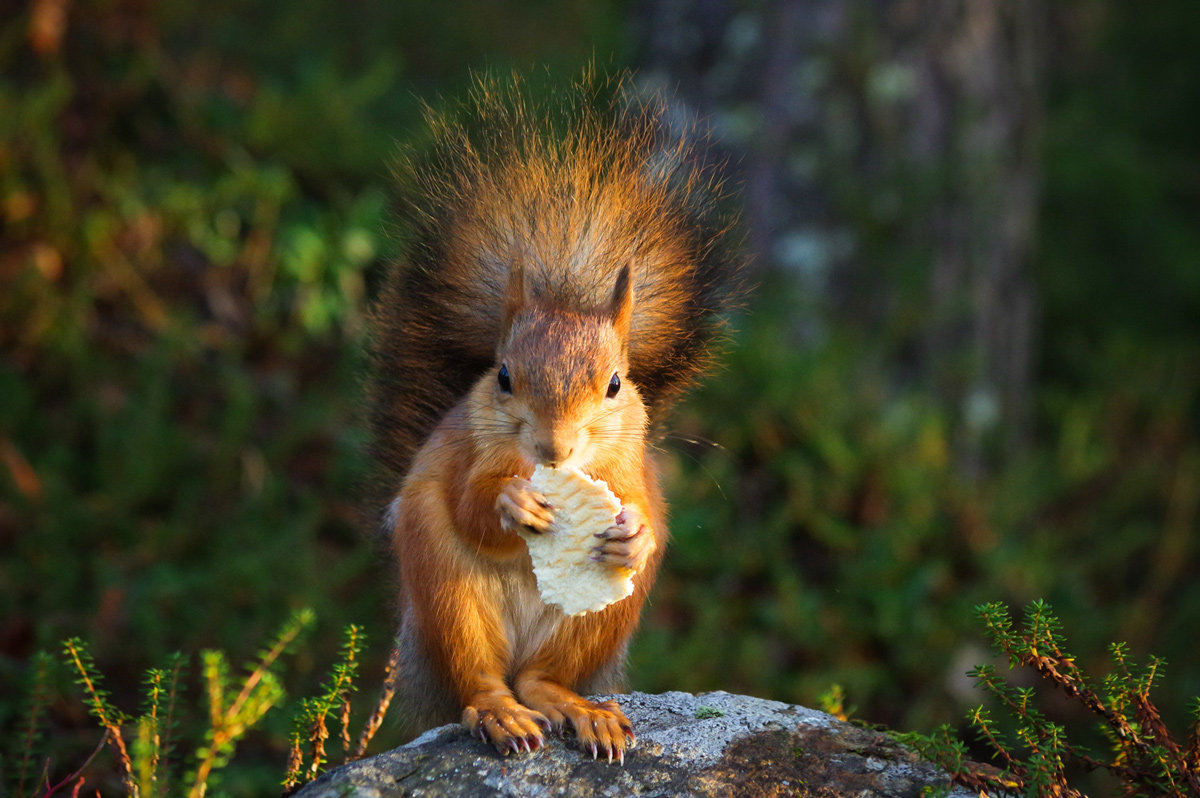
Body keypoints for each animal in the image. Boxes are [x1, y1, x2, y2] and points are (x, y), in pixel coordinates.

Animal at [367, 73, 739, 758]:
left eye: (616, 384)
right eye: (503, 377)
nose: (553, 450)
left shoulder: (627, 467)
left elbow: (639, 505)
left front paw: (633, 532)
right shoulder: (466, 449)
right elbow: (469, 504)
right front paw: (513, 502)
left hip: (600, 617)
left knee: (542, 679)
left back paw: (578, 708)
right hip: (447, 595)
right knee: (480, 680)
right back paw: (500, 714)